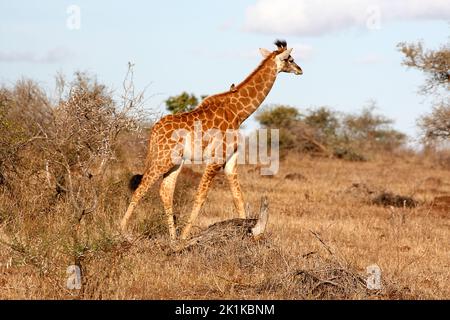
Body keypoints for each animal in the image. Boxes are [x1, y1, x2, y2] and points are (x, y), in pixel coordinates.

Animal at [119, 39, 302, 240]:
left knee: (165, 191)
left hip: (175, 161)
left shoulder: (230, 159)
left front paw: (249, 233)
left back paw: (172, 238)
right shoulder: (216, 158)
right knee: (141, 188)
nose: (300, 70)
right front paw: (185, 237)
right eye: (290, 59)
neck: (239, 112)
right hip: (163, 158)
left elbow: (238, 197)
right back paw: (122, 231)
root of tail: (154, 130)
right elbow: (201, 196)